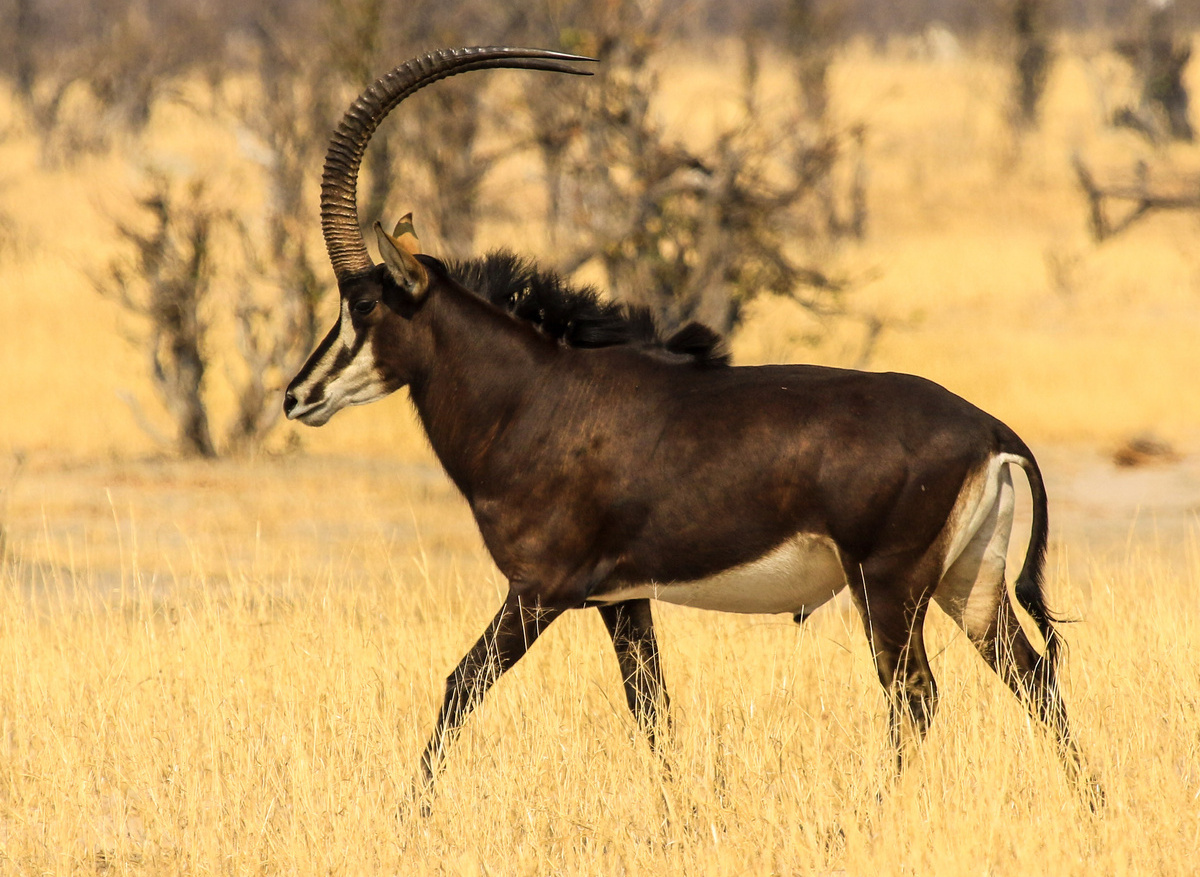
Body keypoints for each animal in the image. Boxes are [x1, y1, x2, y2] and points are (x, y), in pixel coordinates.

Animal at [284, 47, 1097, 807]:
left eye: (364, 304)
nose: (296, 396)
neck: (534, 396)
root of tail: (989, 430)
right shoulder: (620, 599)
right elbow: (651, 708)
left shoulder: (540, 588)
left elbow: (460, 684)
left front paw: (408, 814)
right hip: (969, 586)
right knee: (1034, 677)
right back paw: (1092, 805)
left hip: (889, 587)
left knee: (916, 695)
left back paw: (862, 818)